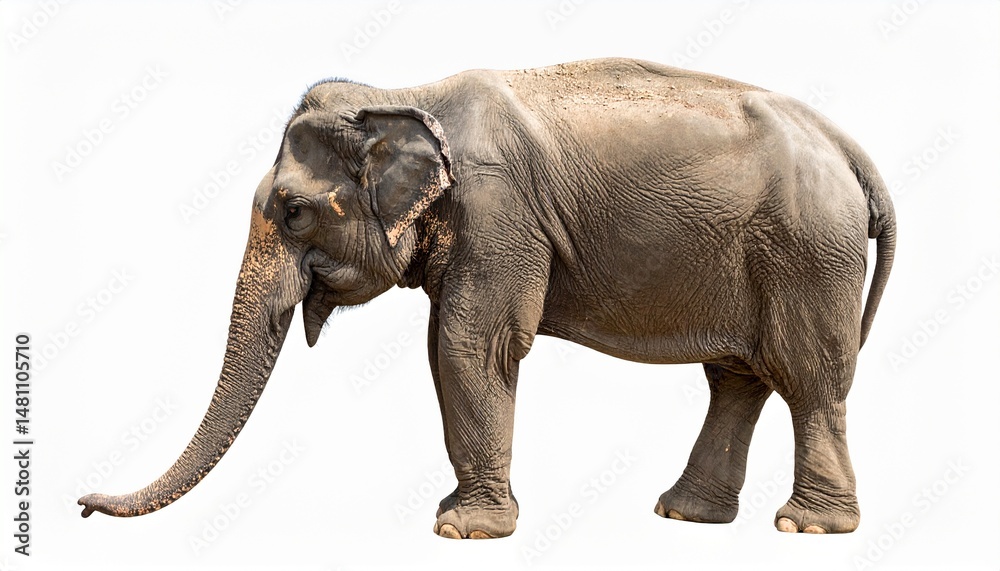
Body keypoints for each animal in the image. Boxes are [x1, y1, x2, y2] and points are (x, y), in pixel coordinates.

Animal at [79, 57, 895, 539]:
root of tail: (851, 150)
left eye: (294, 211)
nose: (83, 504)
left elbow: (472, 343)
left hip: (808, 252)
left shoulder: (500, 213)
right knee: (738, 377)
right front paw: (457, 518)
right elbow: (453, 345)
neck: (404, 95)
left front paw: (461, 531)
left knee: (808, 377)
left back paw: (806, 528)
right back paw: (684, 515)